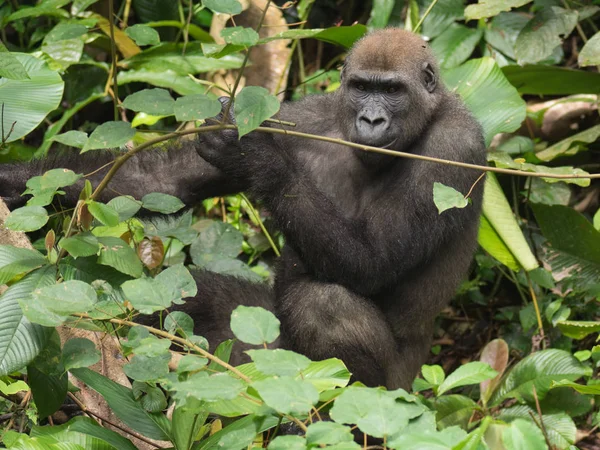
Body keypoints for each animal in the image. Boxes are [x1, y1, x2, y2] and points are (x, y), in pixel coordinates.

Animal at [0, 28, 486, 388]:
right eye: (363, 87)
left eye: (393, 91)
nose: (371, 120)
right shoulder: (304, 116)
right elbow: (157, 182)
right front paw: (10, 181)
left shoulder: (454, 148)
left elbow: (373, 261)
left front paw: (253, 156)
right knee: (190, 298)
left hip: (397, 386)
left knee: (324, 306)